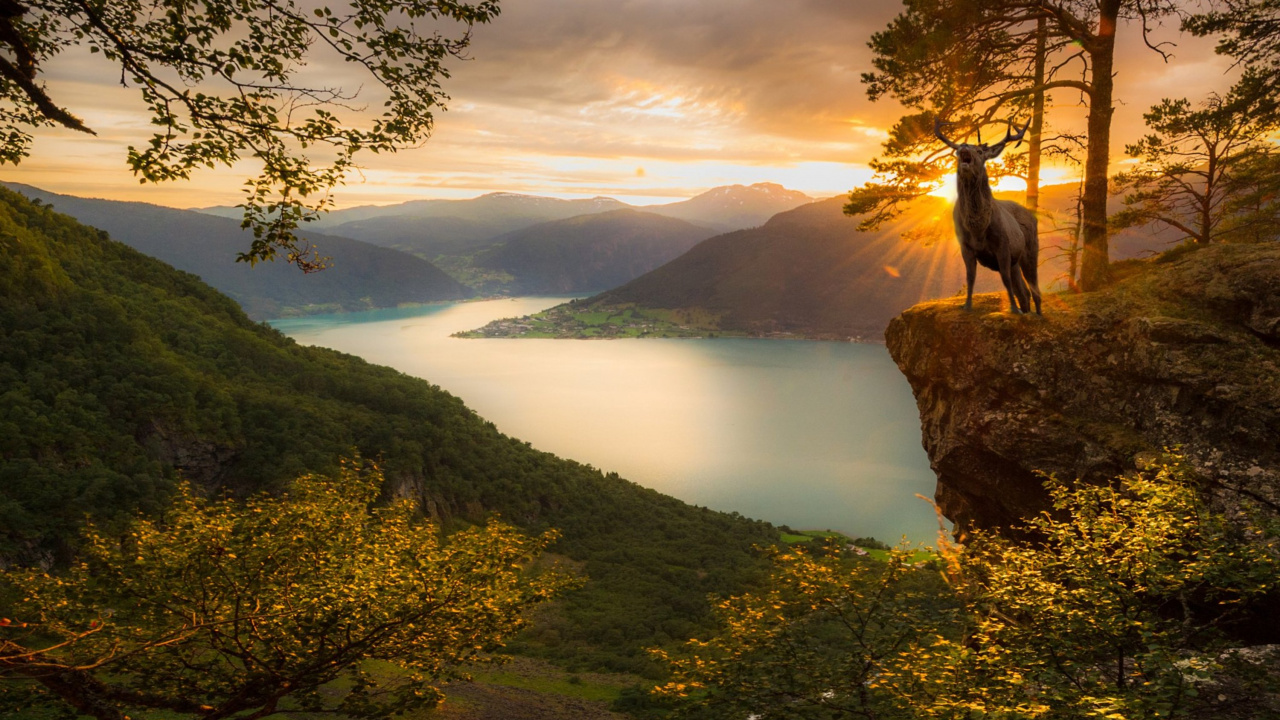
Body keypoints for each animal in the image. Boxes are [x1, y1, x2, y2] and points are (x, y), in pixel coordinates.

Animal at [935, 117, 1041, 315]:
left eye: (979, 151)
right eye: (957, 150)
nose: (964, 147)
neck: (978, 229)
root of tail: (1033, 216)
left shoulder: (1003, 245)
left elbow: (1005, 279)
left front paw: (1013, 309)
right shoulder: (965, 246)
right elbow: (970, 277)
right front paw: (967, 306)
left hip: (1031, 248)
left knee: (1035, 290)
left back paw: (1037, 315)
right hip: (1016, 261)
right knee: (1024, 292)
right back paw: (1026, 311)